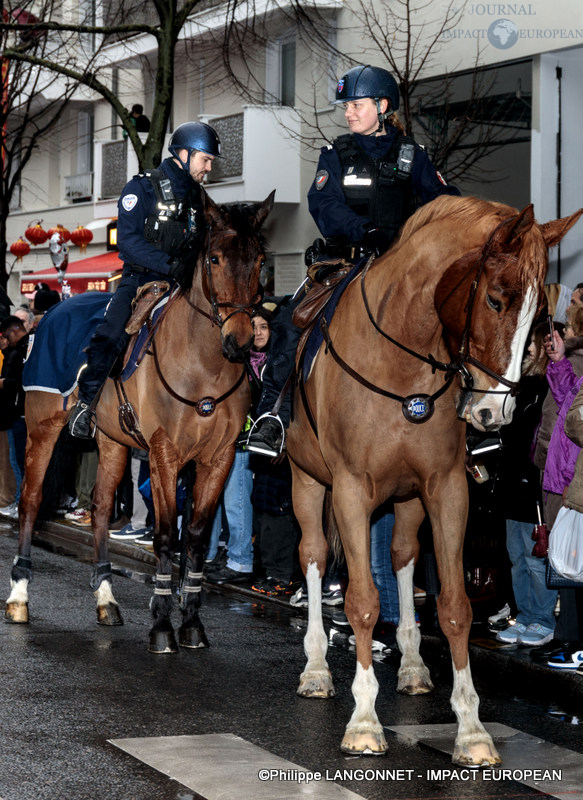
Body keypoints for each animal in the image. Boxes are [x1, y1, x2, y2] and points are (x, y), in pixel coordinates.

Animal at [6, 191, 276, 652]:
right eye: (215, 258)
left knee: (100, 507)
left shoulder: (218, 459)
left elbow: (196, 536)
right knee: (30, 500)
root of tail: (57, 309)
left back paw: (105, 598)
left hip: (113, 442)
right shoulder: (164, 453)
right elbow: (166, 533)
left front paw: (192, 621)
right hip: (41, 429)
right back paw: (19, 595)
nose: (241, 341)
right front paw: (163, 624)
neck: (204, 365)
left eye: (259, 259)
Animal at [288, 197, 583, 764]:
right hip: (308, 481)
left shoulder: (446, 489)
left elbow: (454, 607)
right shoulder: (352, 490)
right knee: (313, 556)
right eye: (494, 299)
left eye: (541, 316)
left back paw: (412, 666)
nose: (494, 414)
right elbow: (362, 602)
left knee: (403, 557)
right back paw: (314, 669)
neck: (406, 366)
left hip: (407, 500)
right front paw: (364, 721)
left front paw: (471, 729)